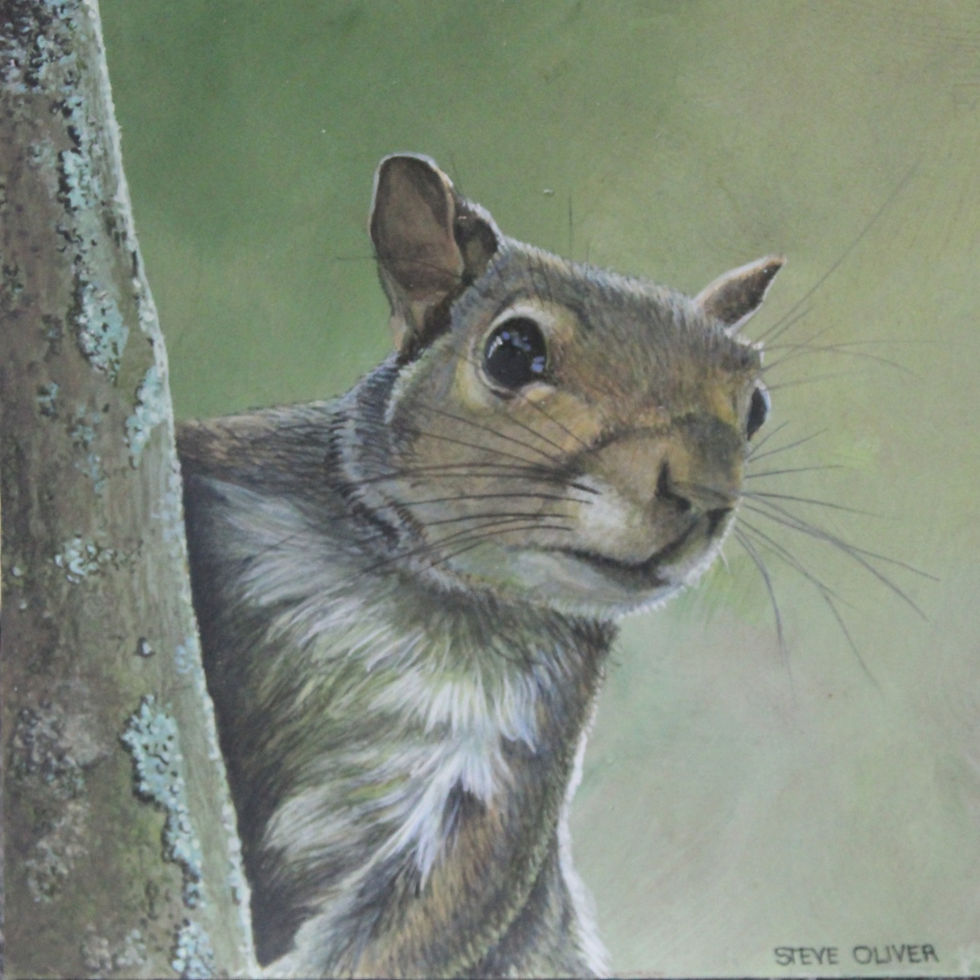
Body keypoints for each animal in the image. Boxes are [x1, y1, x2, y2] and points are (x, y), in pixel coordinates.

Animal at [177, 153, 783, 978]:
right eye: (513, 351)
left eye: (756, 407)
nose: (707, 493)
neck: (431, 592)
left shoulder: (508, 766)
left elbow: (434, 913)